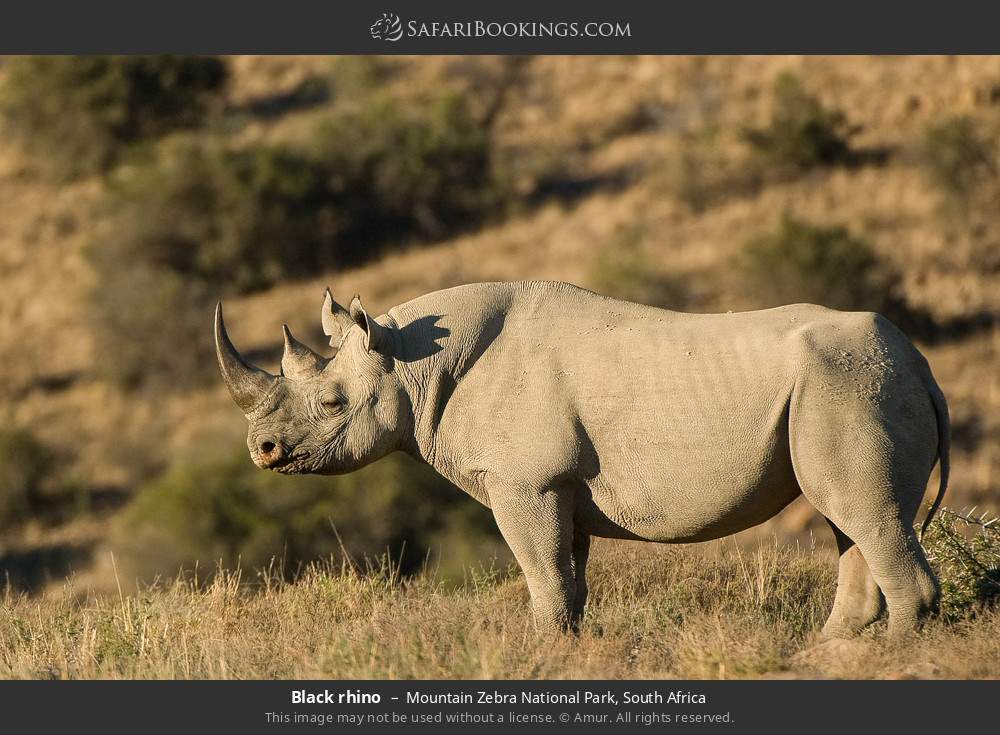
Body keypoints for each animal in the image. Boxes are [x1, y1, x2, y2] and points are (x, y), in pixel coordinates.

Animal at [215, 280, 949, 638]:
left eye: (333, 403)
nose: (262, 450)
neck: (409, 360)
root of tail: (919, 362)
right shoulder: (558, 485)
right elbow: (568, 577)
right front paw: (569, 647)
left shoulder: (525, 482)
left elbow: (542, 574)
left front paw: (539, 650)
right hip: (852, 383)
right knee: (849, 518)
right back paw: (830, 648)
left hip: (849, 381)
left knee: (862, 512)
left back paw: (890, 651)